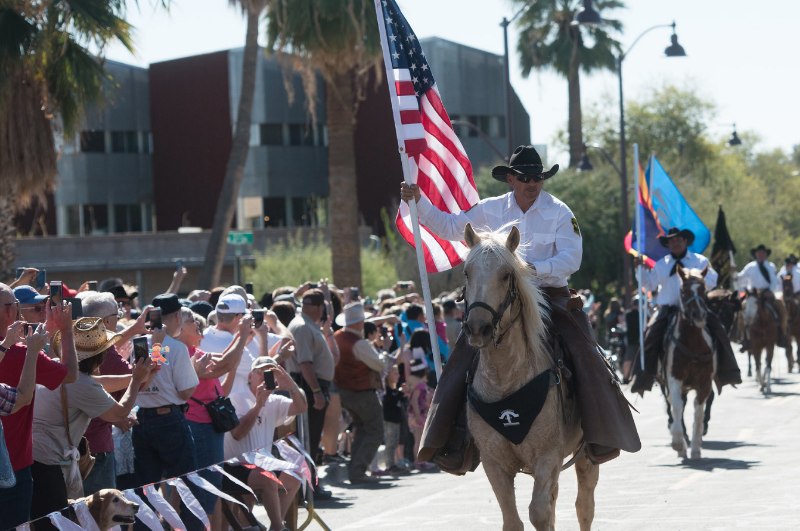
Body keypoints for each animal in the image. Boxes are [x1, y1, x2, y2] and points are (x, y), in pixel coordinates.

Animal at [460, 223, 596, 531]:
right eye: (467, 272)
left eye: (506, 274)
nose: (478, 328)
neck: (506, 380)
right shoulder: (494, 464)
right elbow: (513, 520)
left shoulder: (548, 457)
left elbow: (540, 513)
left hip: (585, 456)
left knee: (584, 507)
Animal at [664, 268, 716, 460]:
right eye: (684, 291)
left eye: (703, 290)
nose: (699, 315)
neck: (694, 344)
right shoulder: (674, 379)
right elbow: (677, 406)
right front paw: (679, 442)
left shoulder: (705, 384)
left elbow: (698, 413)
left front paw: (695, 448)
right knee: (674, 405)